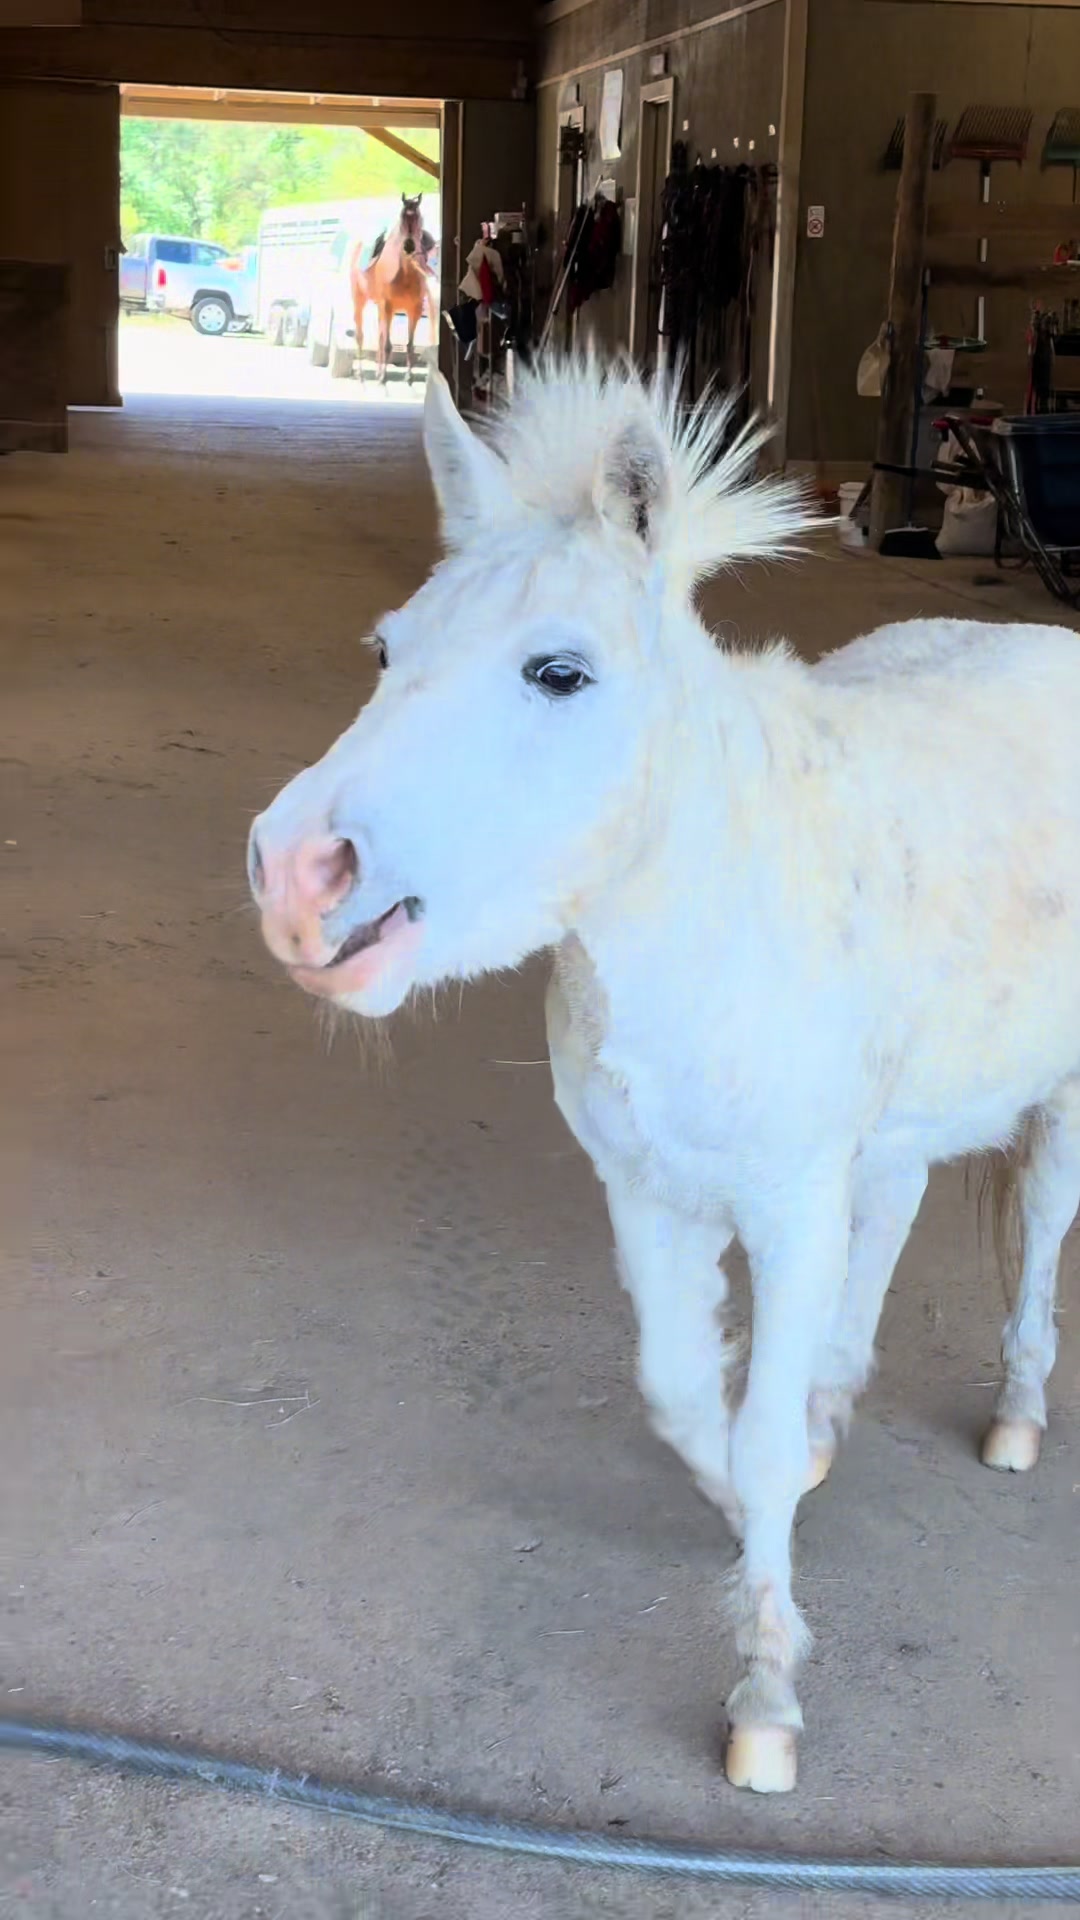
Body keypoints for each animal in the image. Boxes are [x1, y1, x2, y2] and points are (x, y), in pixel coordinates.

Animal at [248, 356, 1078, 1795]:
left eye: (560, 672)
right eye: (386, 654)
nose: (295, 880)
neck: (709, 906)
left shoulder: (789, 1202)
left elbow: (751, 1425)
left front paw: (765, 1698)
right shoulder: (646, 1190)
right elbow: (690, 1399)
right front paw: (764, 1508)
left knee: (1038, 1225)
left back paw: (1018, 1414)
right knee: (899, 1210)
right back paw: (839, 1404)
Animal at [350, 194, 436, 386]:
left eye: (419, 218)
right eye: (402, 218)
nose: (409, 246)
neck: (405, 273)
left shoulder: (414, 309)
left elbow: (409, 345)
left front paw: (408, 377)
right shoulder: (388, 306)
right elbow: (388, 344)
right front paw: (383, 377)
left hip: (380, 308)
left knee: (380, 338)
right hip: (360, 300)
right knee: (360, 336)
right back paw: (361, 374)